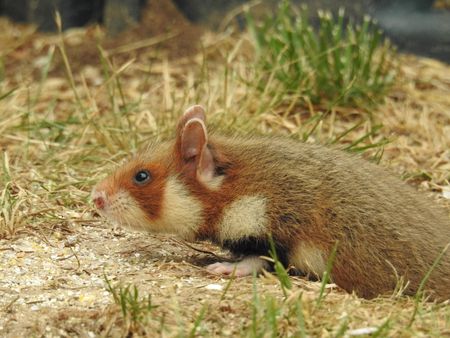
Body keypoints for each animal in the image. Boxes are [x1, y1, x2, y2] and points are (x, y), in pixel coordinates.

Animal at [92, 104, 450, 300]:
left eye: (141, 176)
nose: (95, 197)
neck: (236, 190)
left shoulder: (273, 230)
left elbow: (256, 260)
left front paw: (221, 268)